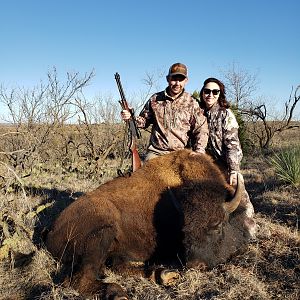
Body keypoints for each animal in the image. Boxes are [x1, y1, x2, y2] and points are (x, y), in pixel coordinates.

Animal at [45, 149, 252, 298]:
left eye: (217, 225)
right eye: (184, 230)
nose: (195, 265)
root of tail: (50, 231)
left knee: (116, 265)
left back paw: (162, 275)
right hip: (102, 233)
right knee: (80, 278)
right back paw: (119, 293)